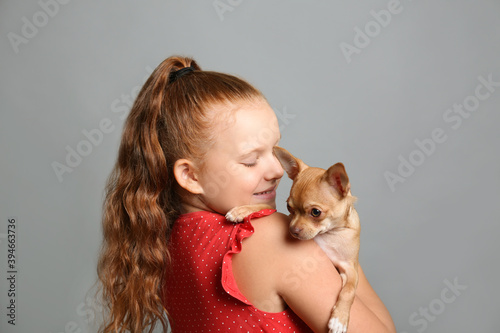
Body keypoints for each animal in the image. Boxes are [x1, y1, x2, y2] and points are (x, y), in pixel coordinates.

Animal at [227, 146, 360, 332]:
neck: (326, 234)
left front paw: (339, 319)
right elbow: (267, 206)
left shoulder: (350, 268)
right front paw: (242, 210)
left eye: (316, 212)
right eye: (289, 207)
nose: (292, 230)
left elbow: (349, 290)